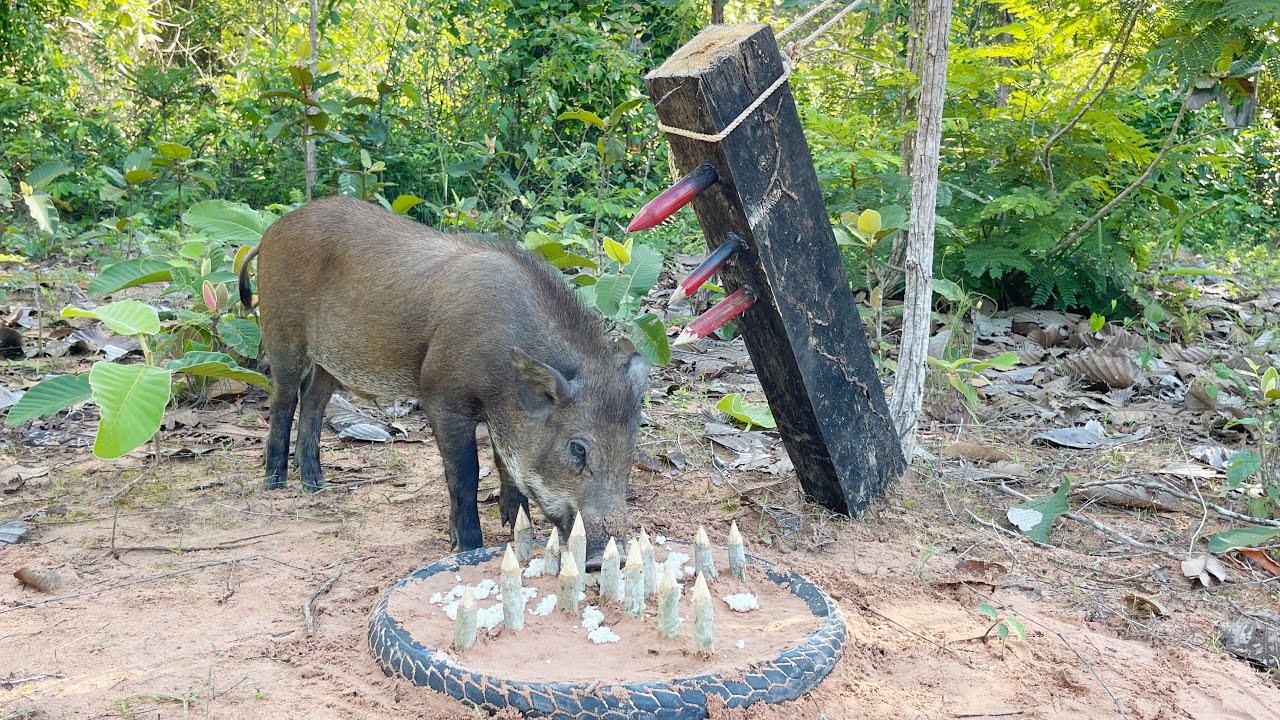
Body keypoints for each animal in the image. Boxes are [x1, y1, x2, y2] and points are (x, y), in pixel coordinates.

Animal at [238, 197, 647, 567]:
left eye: (632, 448)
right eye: (578, 449)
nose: (605, 558)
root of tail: (272, 231)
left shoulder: (501, 418)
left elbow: (505, 466)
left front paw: (514, 526)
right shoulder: (440, 398)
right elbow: (465, 474)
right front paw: (467, 546)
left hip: (331, 362)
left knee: (313, 399)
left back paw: (315, 483)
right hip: (281, 333)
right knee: (284, 398)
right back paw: (275, 483)